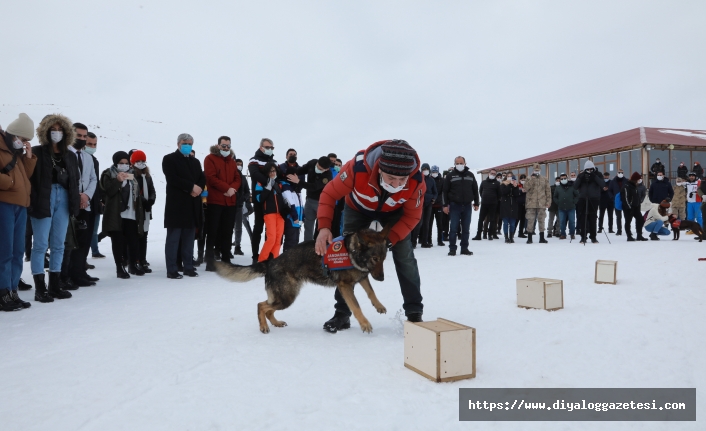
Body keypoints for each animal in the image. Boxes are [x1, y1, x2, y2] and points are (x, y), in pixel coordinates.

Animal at [214, 228, 390, 336]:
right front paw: (365, 324)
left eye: (383, 259)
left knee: (268, 308)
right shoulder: (345, 286)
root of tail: (270, 262)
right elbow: (356, 306)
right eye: (375, 258)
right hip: (287, 297)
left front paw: (379, 305)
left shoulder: (363, 277)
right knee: (261, 306)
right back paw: (263, 326)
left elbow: (371, 291)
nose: (382, 278)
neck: (351, 251)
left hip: (284, 297)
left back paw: (276, 323)